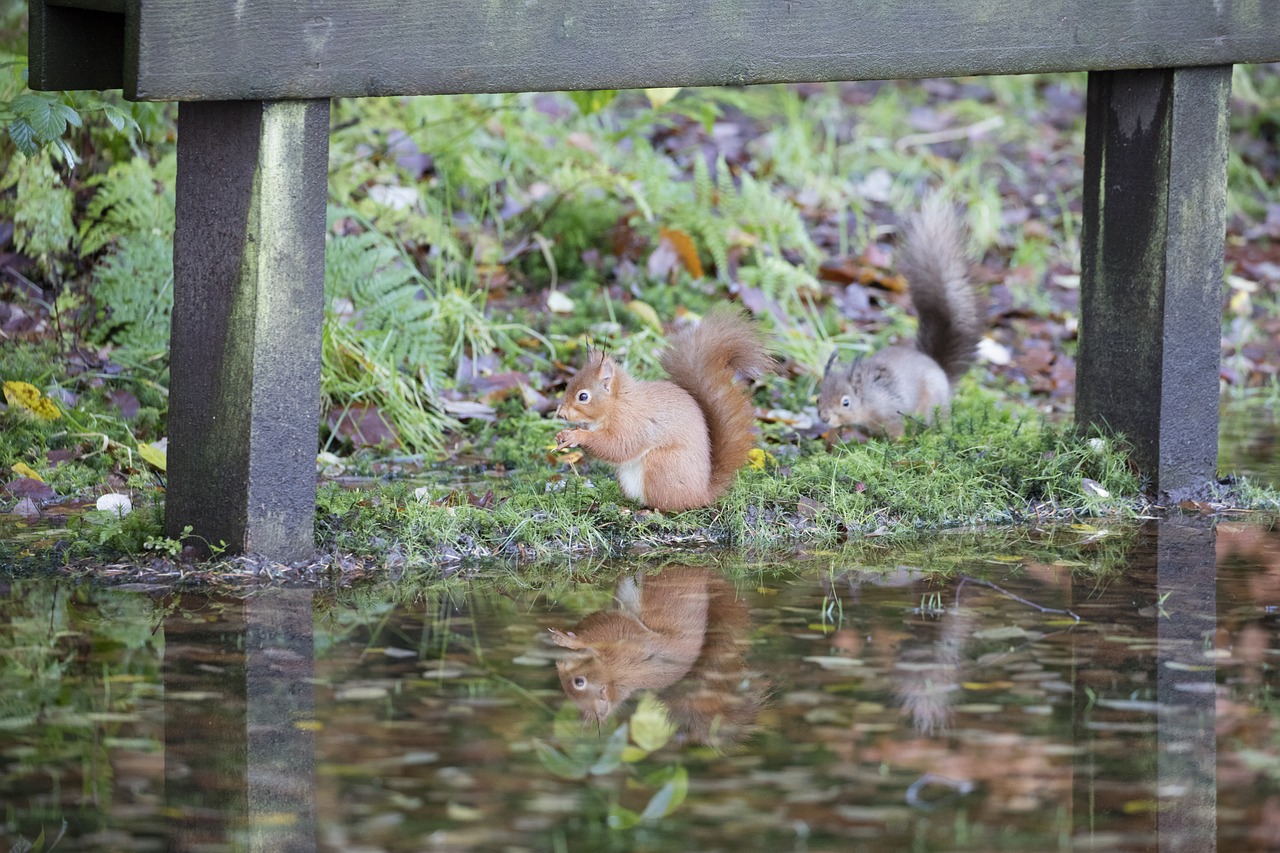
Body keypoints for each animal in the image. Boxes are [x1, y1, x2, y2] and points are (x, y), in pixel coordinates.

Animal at [552, 312, 768, 512]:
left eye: (583, 396)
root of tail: (702, 494)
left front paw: (578, 436)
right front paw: (563, 434)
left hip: (661, 467)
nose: (562, 414)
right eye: (569, 384)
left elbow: (618, 446)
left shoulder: (631, 423)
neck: (617, 404)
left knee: (669, 505)